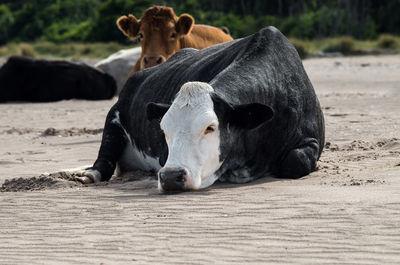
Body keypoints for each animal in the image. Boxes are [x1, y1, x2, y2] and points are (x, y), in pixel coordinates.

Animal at [72, 26, 324, 191]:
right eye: (164, 130)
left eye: (210, 128)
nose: (171, 177)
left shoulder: (311, 140)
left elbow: (295, 161)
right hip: (113, 117)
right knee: (104, 159)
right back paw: (88, 174)